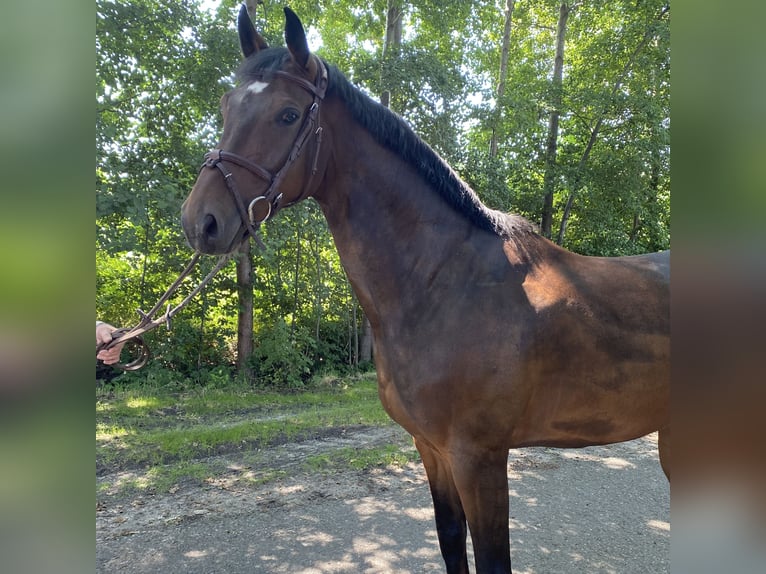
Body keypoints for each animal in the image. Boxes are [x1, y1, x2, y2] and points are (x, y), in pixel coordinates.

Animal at [182, 5, 672, 574]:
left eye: (287, 114)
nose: (201, 222)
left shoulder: (479, 458)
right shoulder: (431, 449)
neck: (441, 284)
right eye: (227, 106)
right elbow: (450, 540)